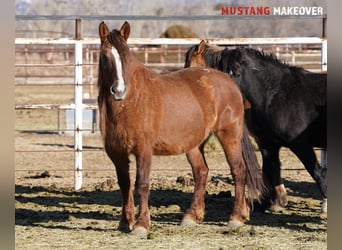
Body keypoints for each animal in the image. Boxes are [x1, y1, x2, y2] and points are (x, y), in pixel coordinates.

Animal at [97, 21, 264, 236]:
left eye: (125, 55)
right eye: (104, 56)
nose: (118, 91)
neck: (129, 103)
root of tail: (229, 82)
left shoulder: (144, 150)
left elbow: (142, 184)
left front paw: (141, 225)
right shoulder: (116, 152)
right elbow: (125, 185)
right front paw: (125, 223)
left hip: (229, 136)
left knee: (238, 170)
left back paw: (235, 218)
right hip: (194, 144)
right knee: (201, 172)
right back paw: (192, 216)